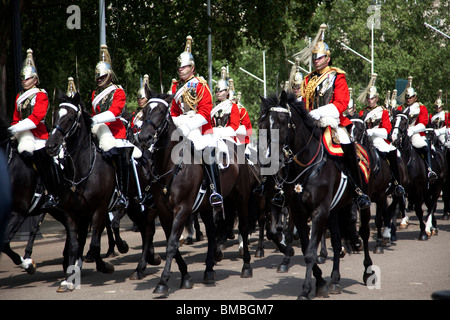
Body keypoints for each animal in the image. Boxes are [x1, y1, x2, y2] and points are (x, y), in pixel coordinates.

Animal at [138, 91, 253, 296]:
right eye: (144, 111)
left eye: (161, 112)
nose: (144, 137)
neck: (171, 165)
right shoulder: (164, 212)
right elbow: (172, 245)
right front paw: (185, 276)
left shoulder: (182, 209)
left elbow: (172, 244)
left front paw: (163, 282)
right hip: (208, 206)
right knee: (212, 231)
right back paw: (209, 270)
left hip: (241, 196)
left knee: (244, 227)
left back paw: (246, 266)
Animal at [256, 90, 372, 300]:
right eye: (261, 124)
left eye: (282, 122)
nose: (269, 160)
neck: (307, 165)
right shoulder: (298, 212)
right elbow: (305, 248)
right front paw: (320, 283)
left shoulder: (319, 212)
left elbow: (310, 251)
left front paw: (305, 290)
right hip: (335, 210)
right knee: (336, 241)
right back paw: (334, 280)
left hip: (363, 202)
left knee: (365, 233)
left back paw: (367, 271)